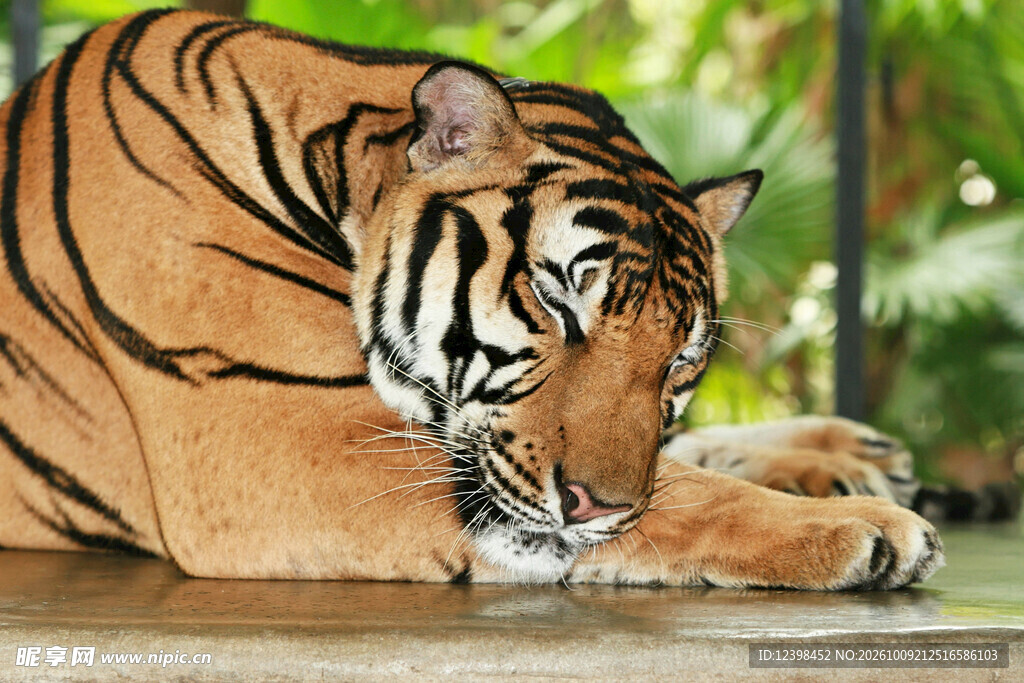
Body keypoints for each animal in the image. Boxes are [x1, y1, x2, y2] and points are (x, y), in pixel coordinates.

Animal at [0, 9, 945, 589]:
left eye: (680, 359)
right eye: (557, 301)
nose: (596, 506)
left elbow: (675, 466)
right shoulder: (280, 442)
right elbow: (683, 492)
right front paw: (867, 528)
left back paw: (854, 446)